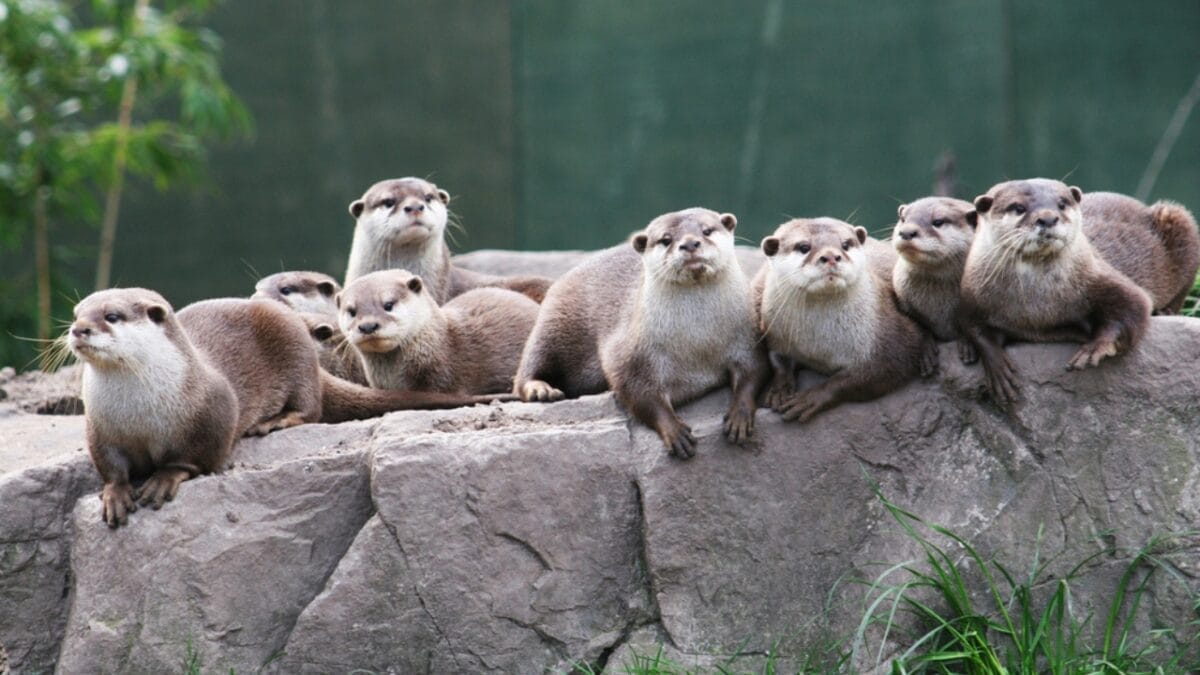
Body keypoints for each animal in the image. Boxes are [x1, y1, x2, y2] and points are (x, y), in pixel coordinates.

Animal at [69, 289, 506, 527]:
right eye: (77, 313)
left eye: (111, 316)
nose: (77, 329)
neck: (141, 411)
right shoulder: (100, 428)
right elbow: (110, 466)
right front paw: (115, 494)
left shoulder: (214, 410)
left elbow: (196, 457)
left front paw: (163, 478)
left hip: (294, 347)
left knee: (310, 406)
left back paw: (276, 421)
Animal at [513, 208, 766, 458]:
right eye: (666, 239)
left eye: (707, 230)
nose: (690, 244)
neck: (698, 341)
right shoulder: (632, 354)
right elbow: (638, 392)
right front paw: (674, 431)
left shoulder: (747, 336)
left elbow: (753, 372)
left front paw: (739, 417)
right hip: (553, 325)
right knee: (527, 369)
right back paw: (541, 389)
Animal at [754, 217, 931, 422]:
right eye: (804, 247)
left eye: (845, 244)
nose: (831, 256)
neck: (817, 344)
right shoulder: (774, 330)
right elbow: (777, 358)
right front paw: (780, 390)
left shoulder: (890, 338)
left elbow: (873, 372)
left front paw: (810, 398)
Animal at [891, 197, 978, 365]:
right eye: (903, 219)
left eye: (938, 221)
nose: (906, 232)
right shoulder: (904, 301)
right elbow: (918, 324)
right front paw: (925, 350)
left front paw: (968, 343)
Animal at [959, 178, 1157, 406]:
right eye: (1018, 208)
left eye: (1062, 204)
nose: (1047, 218)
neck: (1038, 304)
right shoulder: (972, 296)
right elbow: (975, 330)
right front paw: (998, 368)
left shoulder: (1101, 276)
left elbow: (1133, 306)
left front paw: (1094, 347)